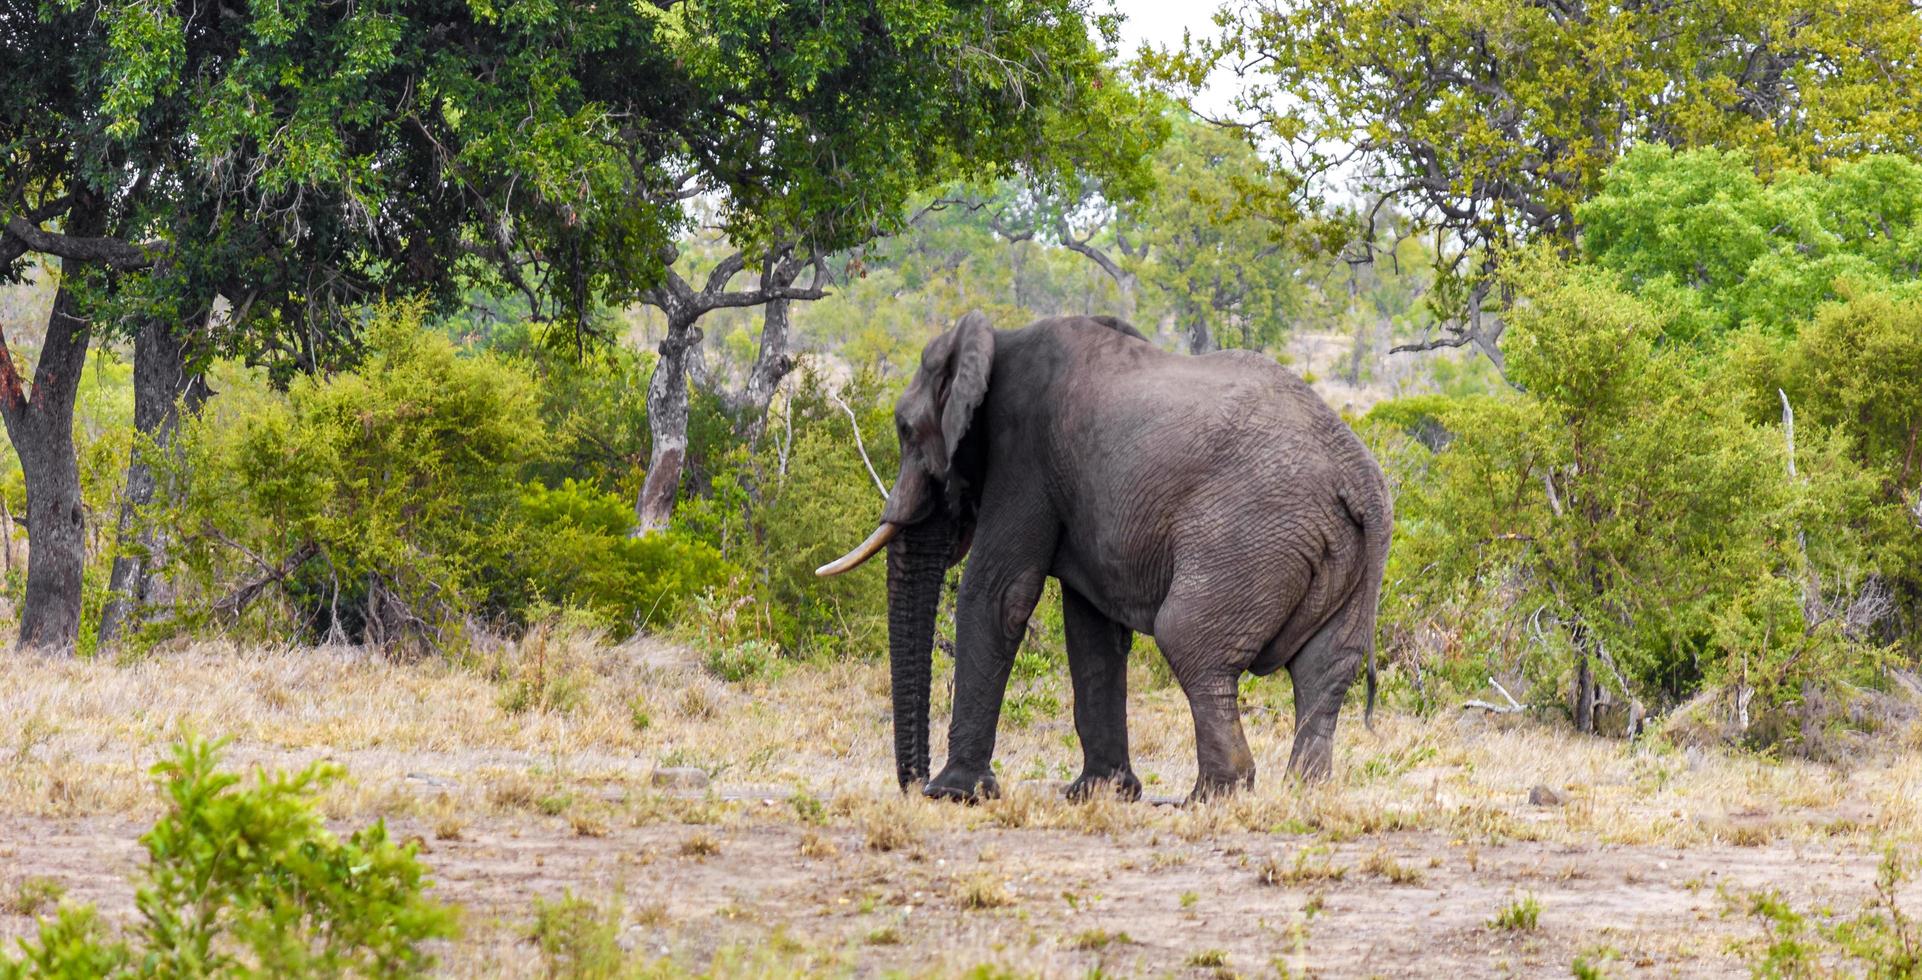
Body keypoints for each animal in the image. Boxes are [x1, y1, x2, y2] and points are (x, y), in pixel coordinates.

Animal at [818, 311, 1391, 803]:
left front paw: (955, 793)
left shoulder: (1023, 456)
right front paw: (1100, 792)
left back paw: (1210, 796)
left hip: (1247, 537)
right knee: (1324, 669)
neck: (996, 340)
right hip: (1353, 558)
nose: (913, 784)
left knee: (1189, 640)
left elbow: (999, 595)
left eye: (905, 430)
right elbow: (1093, 629)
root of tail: (1357, 477)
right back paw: (1302, 791)